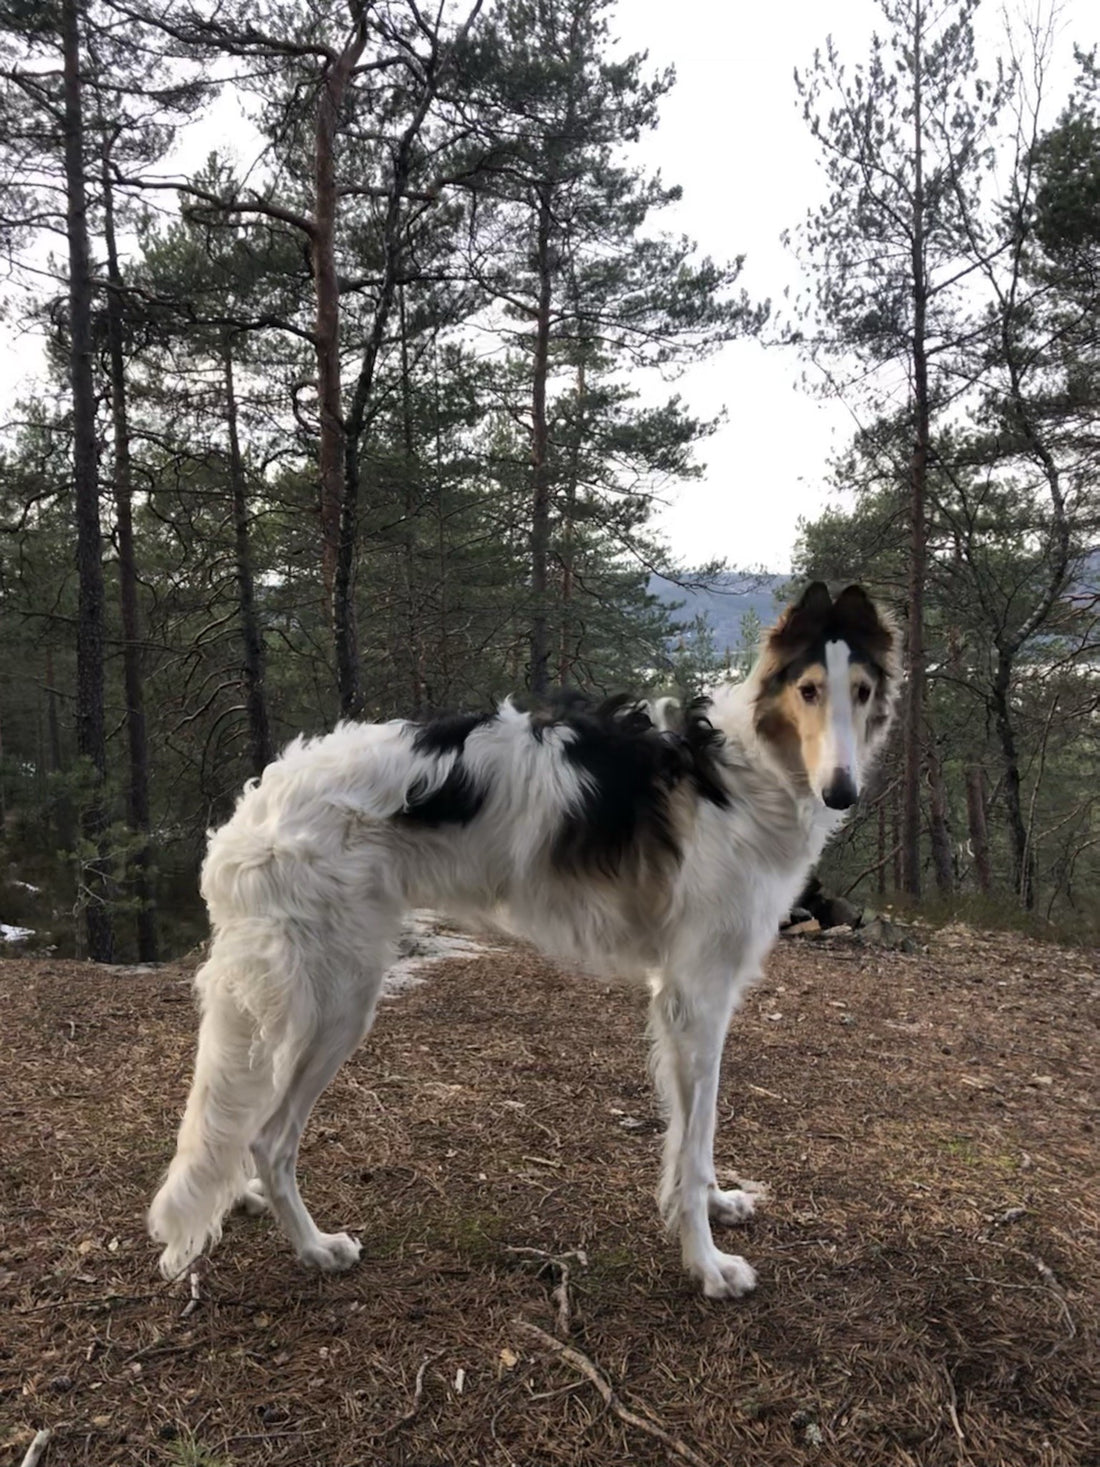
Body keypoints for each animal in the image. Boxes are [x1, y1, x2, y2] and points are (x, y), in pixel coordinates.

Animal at [148, 580, 903, 1296]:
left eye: (862, 692)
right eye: (809, 690)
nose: (842, 791)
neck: (742, 773)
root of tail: (256, 804)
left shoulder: (690, 997)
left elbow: (696, 1137)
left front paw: (719, 1204)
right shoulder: (697, 995)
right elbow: (692, 1144)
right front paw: (708, 1265)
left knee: (248, 1133)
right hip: (338, 1000)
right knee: (270, 1139)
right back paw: (314, 1248)